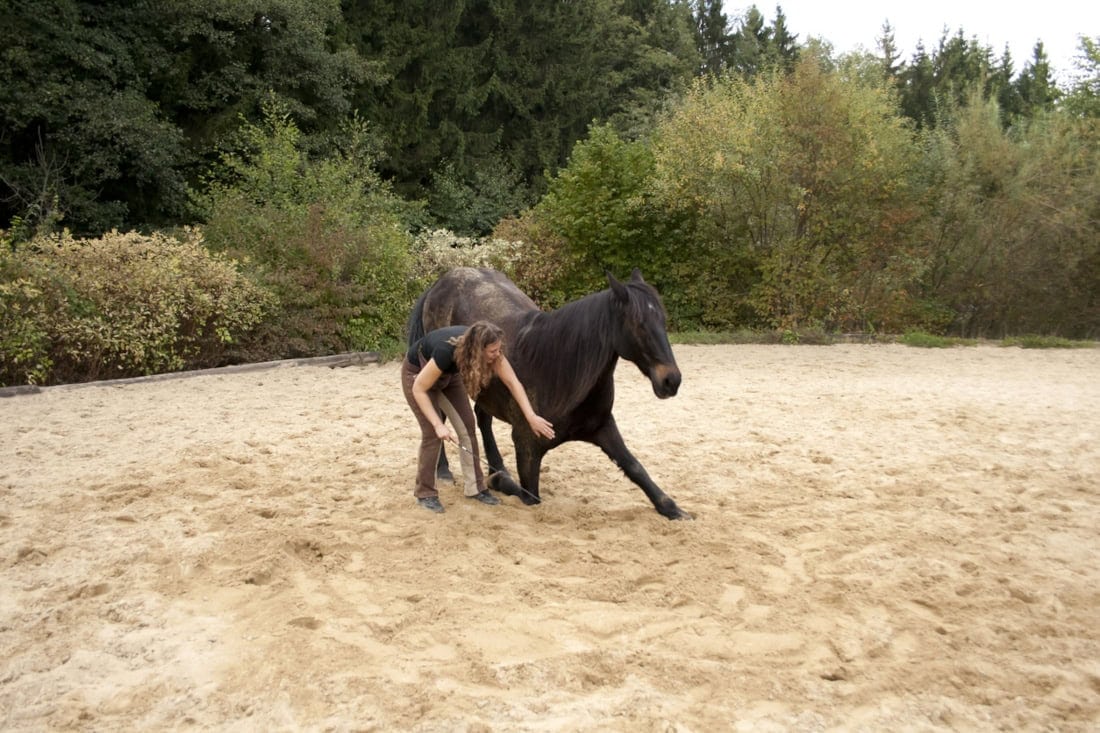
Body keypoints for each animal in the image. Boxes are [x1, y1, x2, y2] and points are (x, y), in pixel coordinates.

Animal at [406, 266, 689, 520]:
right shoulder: (527, 446)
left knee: (481, 417)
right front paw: (497, 480)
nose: (671, 380)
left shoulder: (603, 427)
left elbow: (634, 466)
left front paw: (671, 508)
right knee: (439, 415)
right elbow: (530, 495)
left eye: (662, 321)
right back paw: (444, 470)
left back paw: (496, 464)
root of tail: (440, 283)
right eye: (639, 325)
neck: (557, 369)